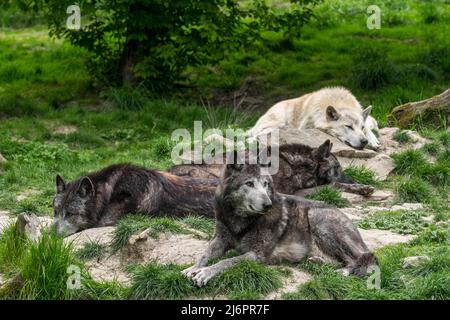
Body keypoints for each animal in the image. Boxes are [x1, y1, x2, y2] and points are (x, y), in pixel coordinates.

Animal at [183, 161, 376, 286]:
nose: (268, 204)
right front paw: (192, 268)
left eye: (266, 184)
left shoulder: (257, 255)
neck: (240, 219)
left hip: (319, 221)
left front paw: (204, 273)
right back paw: (317, 262)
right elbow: (205, 254)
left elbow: (228, 261)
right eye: (249, 183)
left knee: (364, 258)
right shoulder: (220, 239)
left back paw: (342, 272)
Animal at [248, 87, 382, 151]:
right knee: (257, 133)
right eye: (348, 127)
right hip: (279, 122)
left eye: (361, 127)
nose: (364, 141)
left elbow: (369, 129)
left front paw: (373, 140)